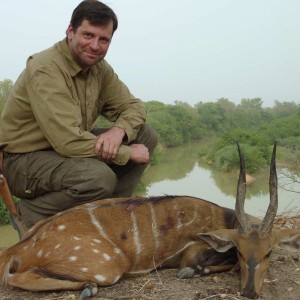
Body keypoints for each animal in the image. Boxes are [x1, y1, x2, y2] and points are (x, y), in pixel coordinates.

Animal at [0, 144, 300, 298]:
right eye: (239, 251)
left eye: (269, 253)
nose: (250, 292)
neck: (222, 216)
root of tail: (20, 247)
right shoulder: (192, 252)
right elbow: (199, 264)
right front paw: (191, 272)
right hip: (110, 266)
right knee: (17, 277)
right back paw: (87, 288)